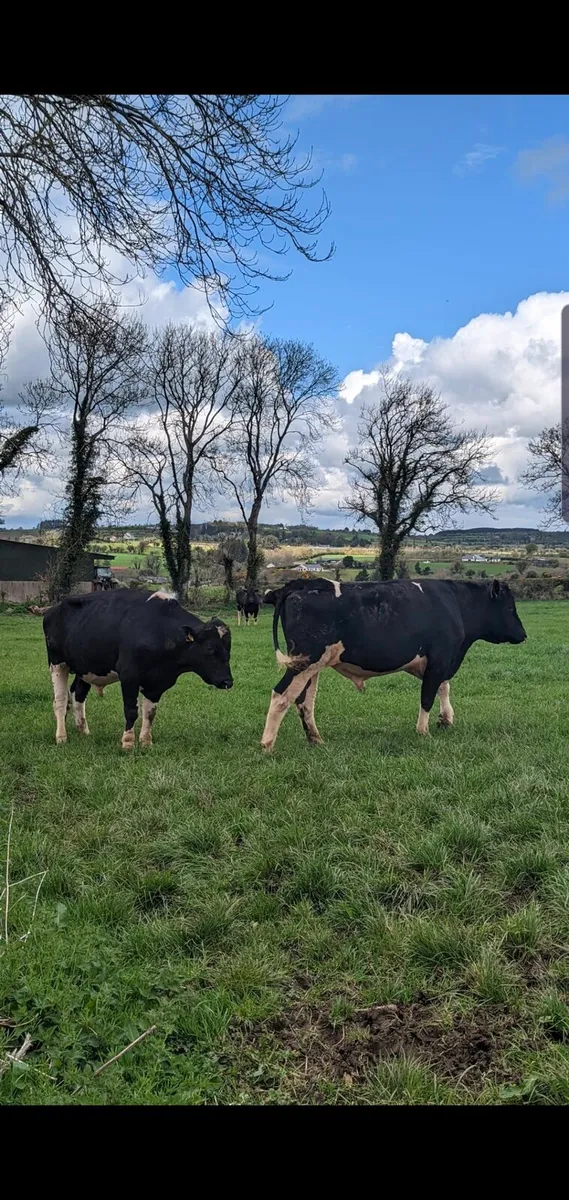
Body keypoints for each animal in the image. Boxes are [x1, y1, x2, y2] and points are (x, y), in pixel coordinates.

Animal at [42, 589, 233, 749]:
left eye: (228, 648)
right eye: (210, 648)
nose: (228, 681)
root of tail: (54, 609)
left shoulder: (158, 683)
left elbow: (150, 713)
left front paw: (146, 742)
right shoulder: (129, 675)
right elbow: (131, 711)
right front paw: (127, 742)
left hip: (85, 668)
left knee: (78, 695)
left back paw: (83, 731)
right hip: (58, 664)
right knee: (60, 701)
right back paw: (61, 737)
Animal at [260, 577, 526, 752]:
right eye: (510, 607)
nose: (524, 635)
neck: (455, 604)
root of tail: (303, 583)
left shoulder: (434, 662)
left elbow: (443, 687)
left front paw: (446, 719)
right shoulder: (440, 657)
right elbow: (427, 696)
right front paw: (423, 732)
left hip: (312, 666)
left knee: (304, 700)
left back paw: (316, 739)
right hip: (304, 661)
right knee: (281, 695)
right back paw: (267, 745)